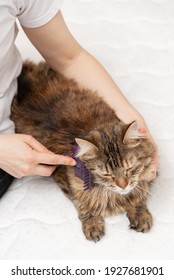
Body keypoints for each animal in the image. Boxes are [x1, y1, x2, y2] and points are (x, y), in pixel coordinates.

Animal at [10, 60, 156, 241]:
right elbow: (84, 206)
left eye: (129, 168)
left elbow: (139, 194)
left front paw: (140, 214)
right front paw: (92, 225)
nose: (122, 186)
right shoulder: (66, 180)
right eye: (106, 174)